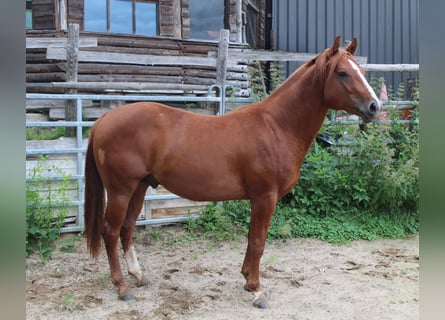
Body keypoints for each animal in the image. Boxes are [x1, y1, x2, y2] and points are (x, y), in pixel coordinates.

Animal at [83, 36, 378, 308]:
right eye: (342, 72)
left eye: (361, 72)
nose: (375, 107)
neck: (277, 126)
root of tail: (103, 120)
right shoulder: (265, 197)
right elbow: (258, 241)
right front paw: (257, 290)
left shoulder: (259, 199)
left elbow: (251, 239)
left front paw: (247, 280)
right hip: (121, 190)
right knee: (110, 231)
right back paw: (122, 286)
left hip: (140, 187)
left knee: (127, 228)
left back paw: (139, 276)